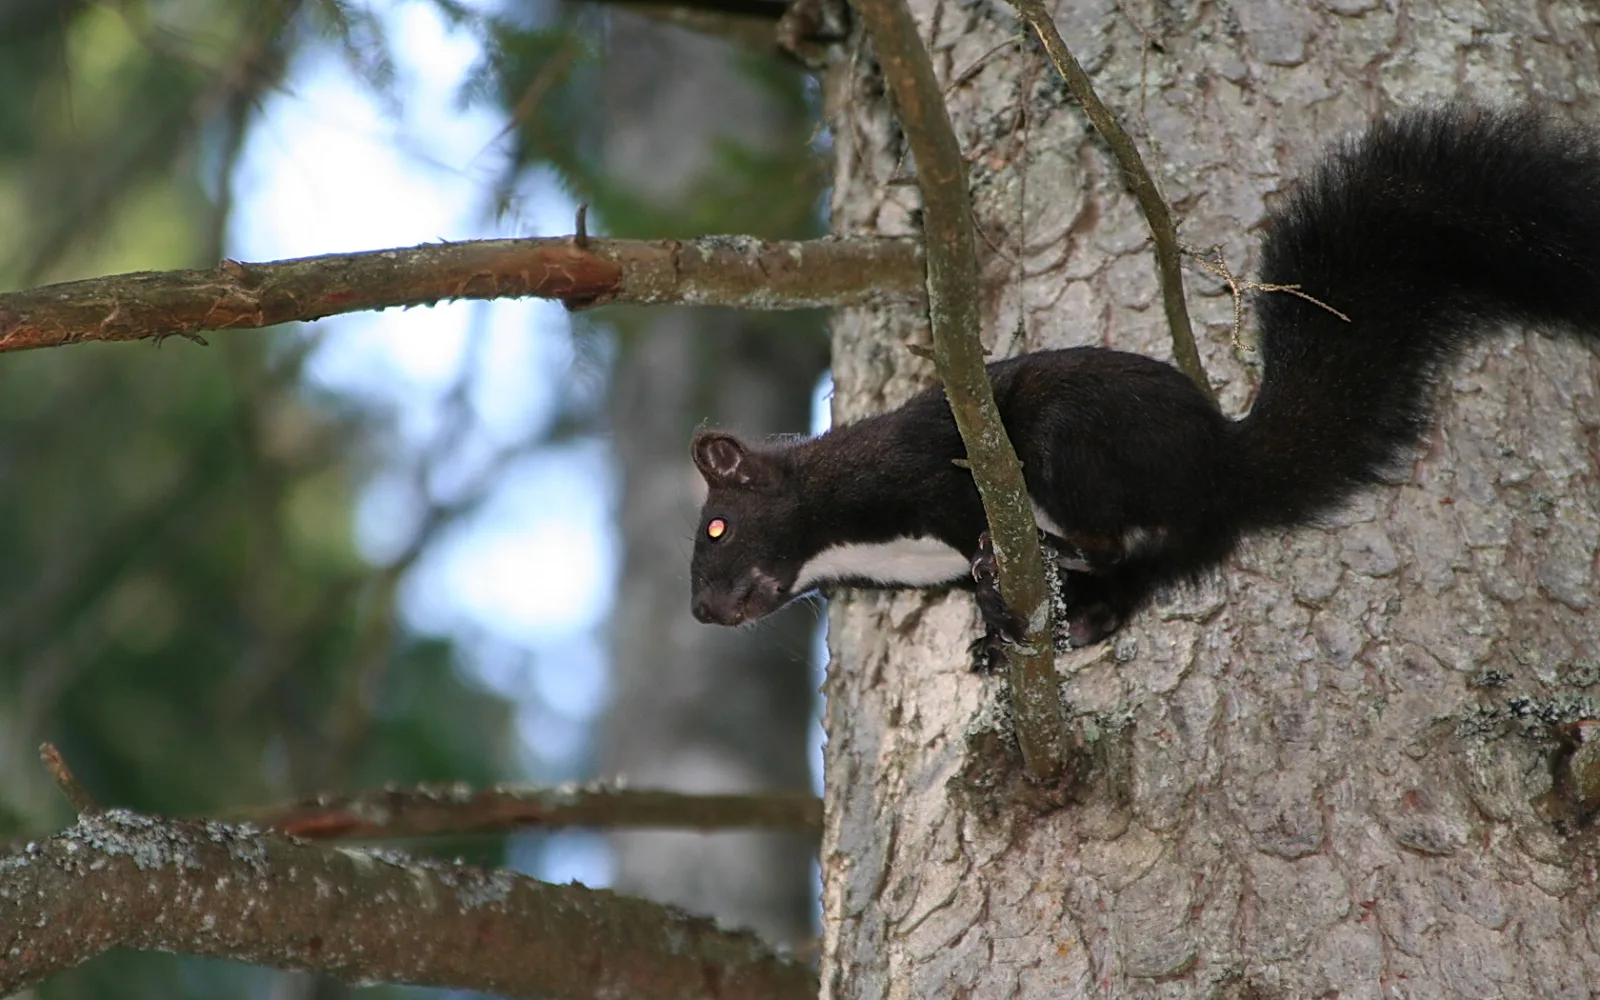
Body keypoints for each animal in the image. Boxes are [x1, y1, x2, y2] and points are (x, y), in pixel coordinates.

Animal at [687, 106, 1600, 668]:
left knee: (1099, 538)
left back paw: (1040, 557)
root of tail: (1219, 467)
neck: (852, 542)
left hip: (1078, 442)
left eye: (718, 527)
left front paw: (995, 601)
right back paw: (1066, 624)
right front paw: (993, 640)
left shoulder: (925, 468)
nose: (702, 612)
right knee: (1120, 576)